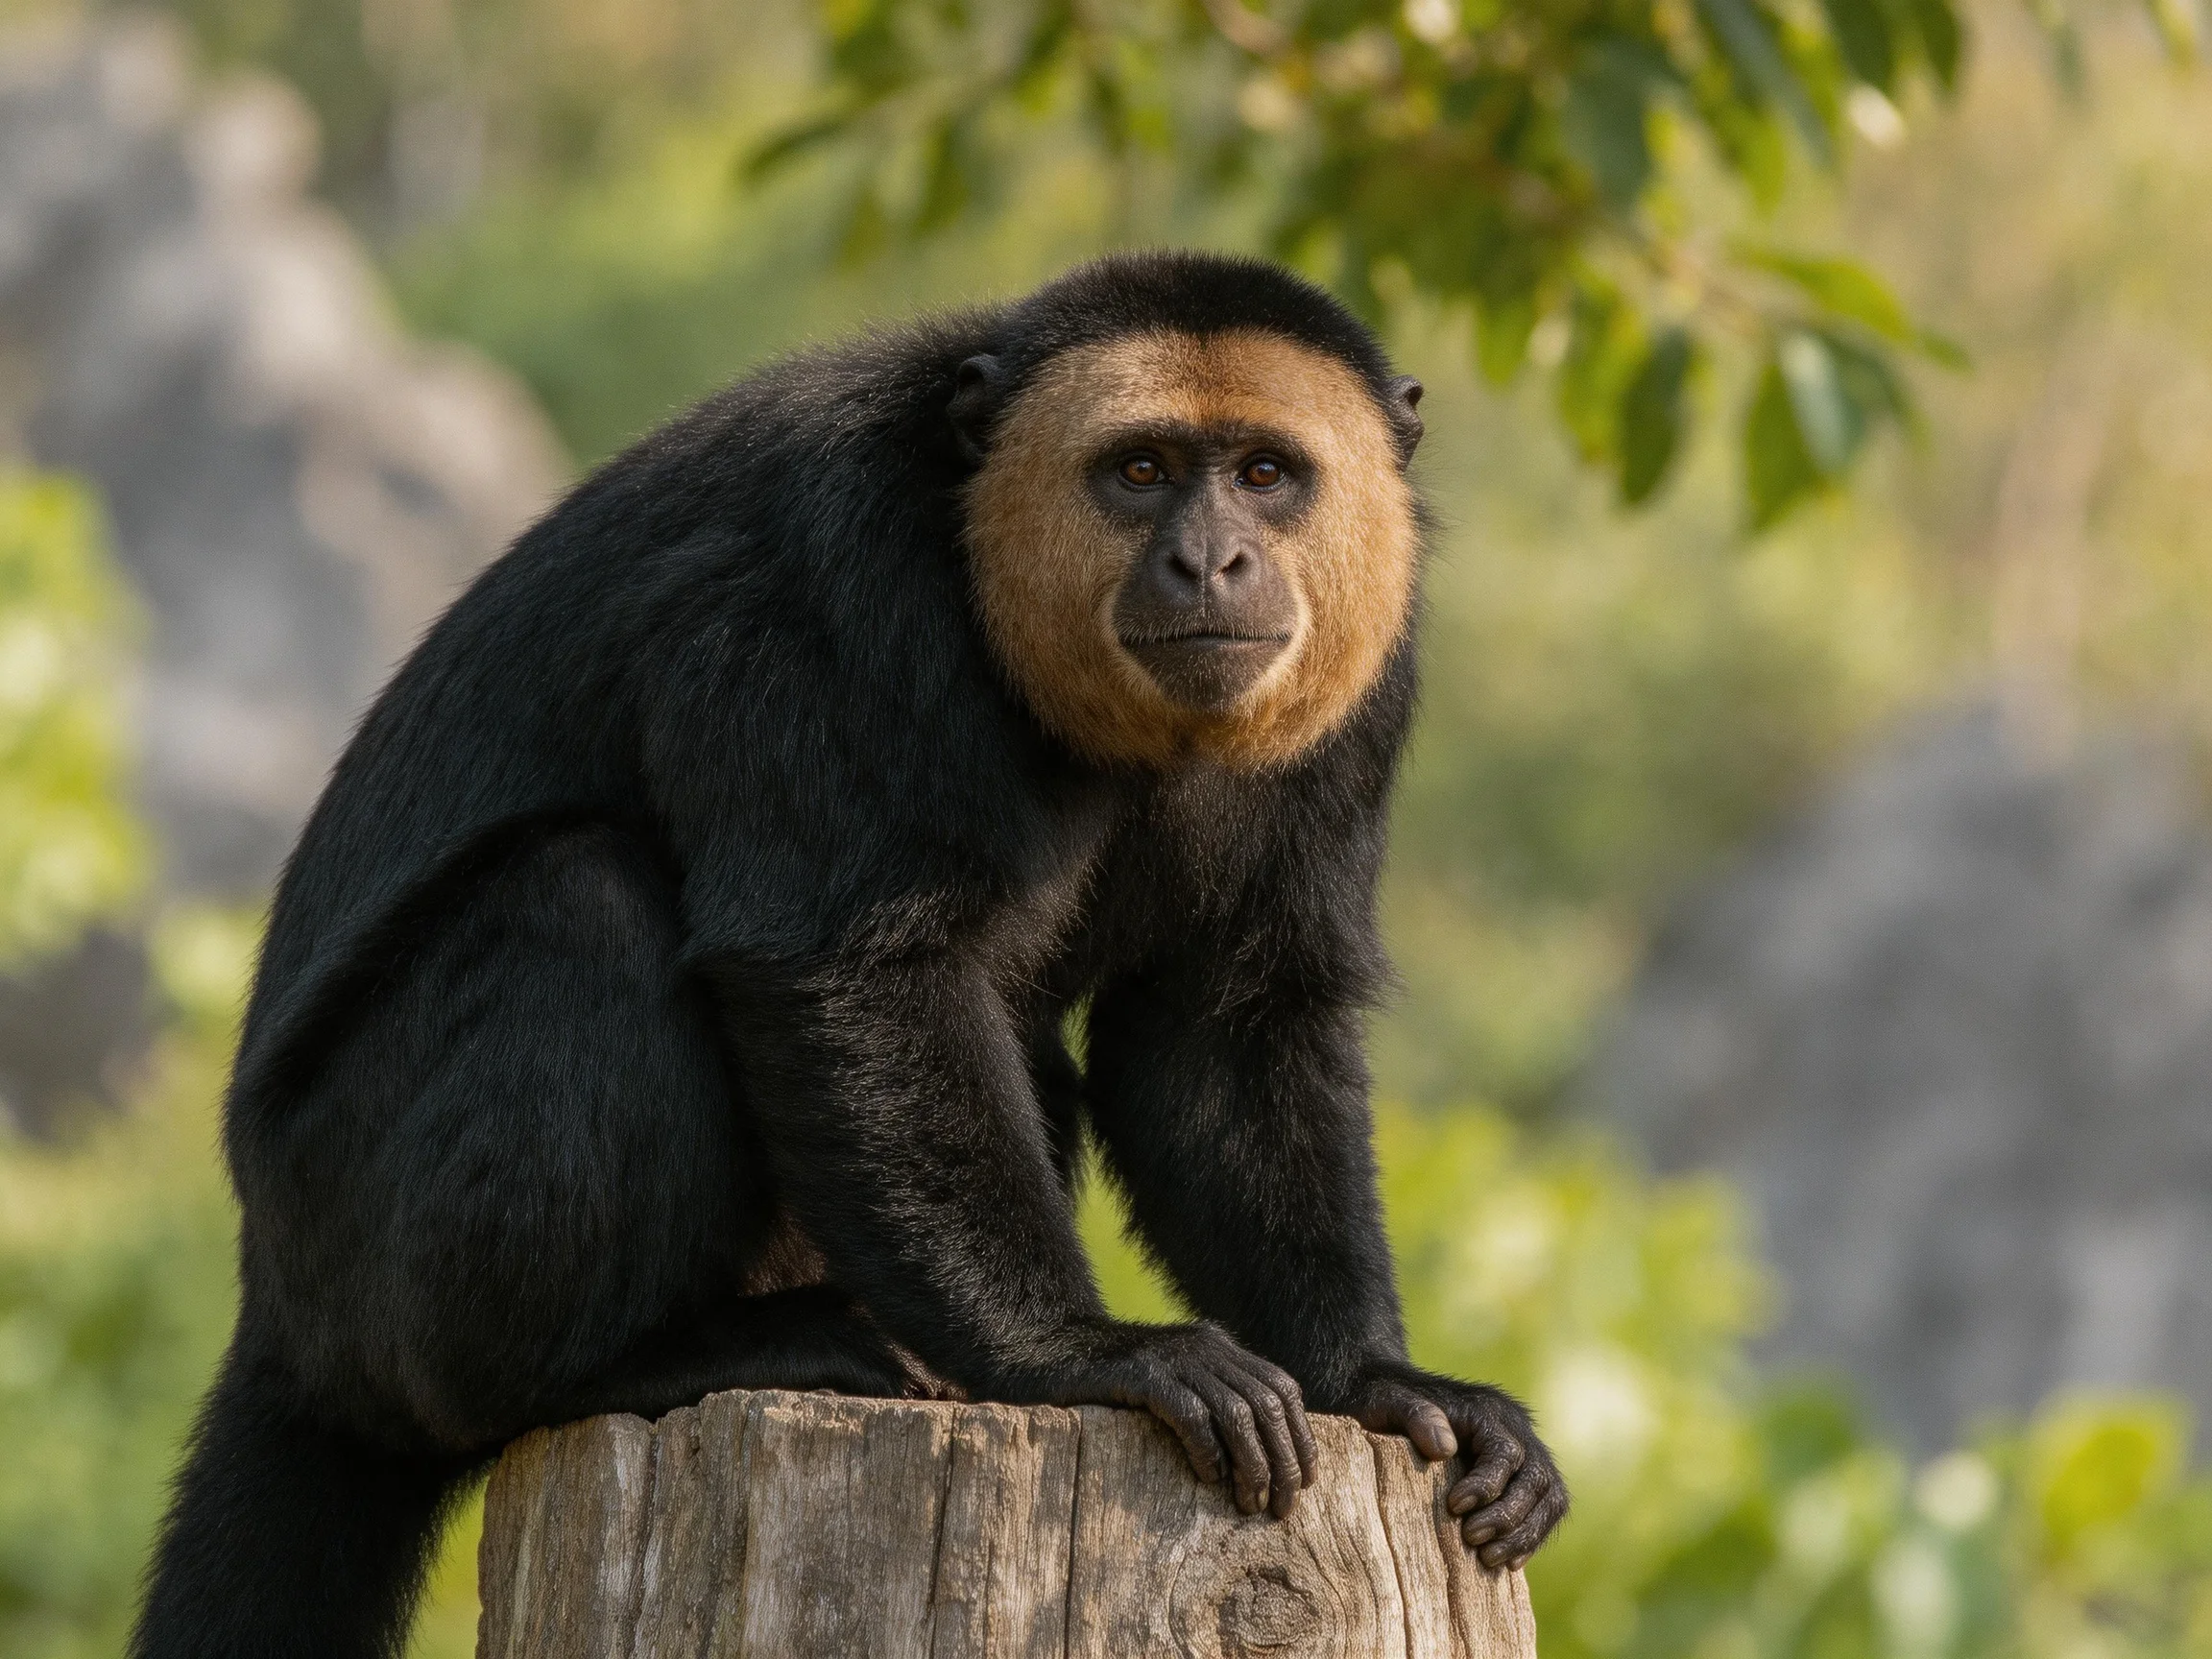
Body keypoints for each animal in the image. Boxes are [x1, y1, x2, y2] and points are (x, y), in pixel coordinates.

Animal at [131, 250, 1568, 1659]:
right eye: (1143, 472)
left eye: (1267, 475)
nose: (1211, 560)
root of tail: (277, 1292)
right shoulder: (825, 591)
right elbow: (851, 974)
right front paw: (1081, 1355)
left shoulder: (1369, 681)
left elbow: (1225, 1022)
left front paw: (1372, 1382)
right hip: (350, 1234)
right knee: (577, 905)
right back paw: (616, 1368)